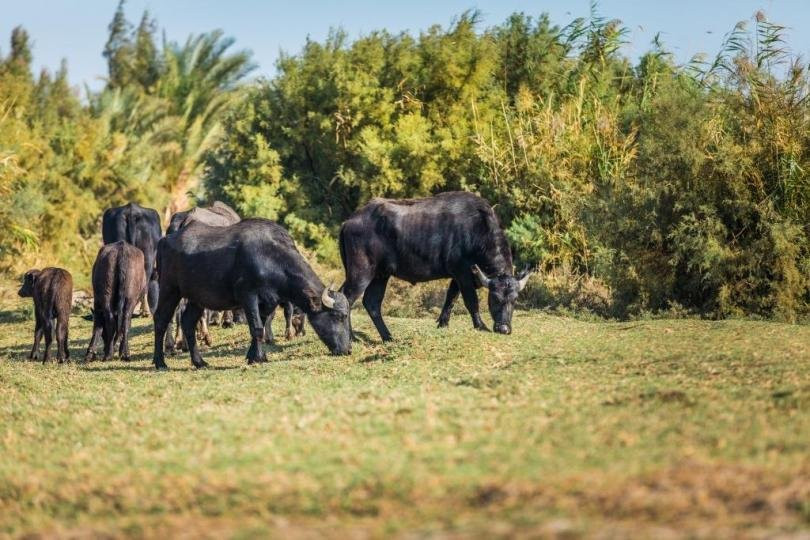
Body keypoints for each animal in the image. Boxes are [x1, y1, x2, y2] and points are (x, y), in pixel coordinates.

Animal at [155, 217, 350, 370]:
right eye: (338, 316)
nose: (348, 350)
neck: (271, 257)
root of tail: (165, 240)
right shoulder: (248, 296)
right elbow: (256, 328)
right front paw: (258, 358)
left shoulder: (268, 301)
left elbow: (261, 326)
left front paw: (254, 356)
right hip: (169, 288)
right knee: (161, 319)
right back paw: (160, 362)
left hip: (197, 297)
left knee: (188, 322)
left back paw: (199, 362)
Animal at [336, 191, 532, 342]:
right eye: (495, 299)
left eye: (514, 300)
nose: (504, 329)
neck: (477, 232)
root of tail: (349, 221)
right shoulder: (463, 274)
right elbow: (471, 301)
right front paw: (481, 326)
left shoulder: (457, 277)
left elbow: (450, 299)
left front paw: (443, 323)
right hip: (361, 273)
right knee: (346, 297)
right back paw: (352, 337)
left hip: (380, 275)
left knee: (371, 303)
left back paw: (388, 337)